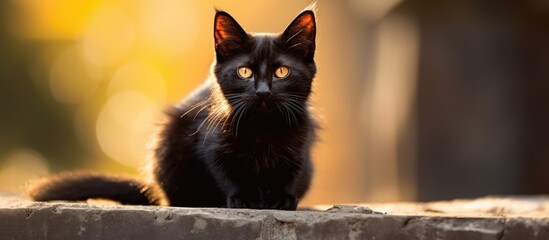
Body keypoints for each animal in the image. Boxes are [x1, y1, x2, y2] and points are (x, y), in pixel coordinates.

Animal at [27, 7, 316, 210]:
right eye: (244, 71)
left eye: (281, 72)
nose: (263, 91)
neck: (262, 127)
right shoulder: (210, 143)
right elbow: (225, 172)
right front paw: (242, 198)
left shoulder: (300, 146)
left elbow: (291, 173)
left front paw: (283, 198)